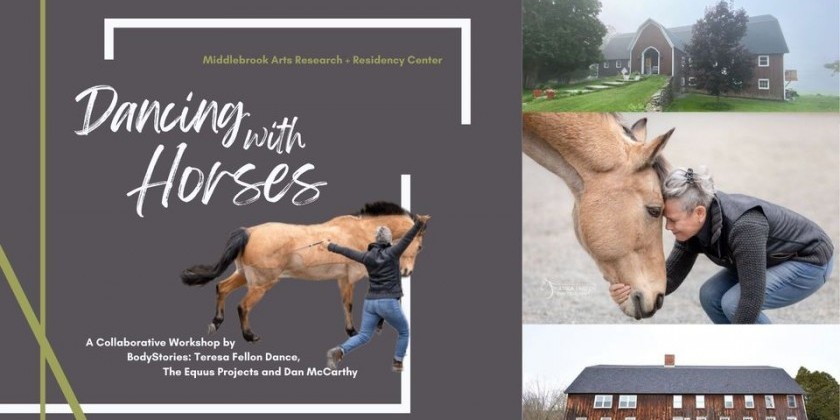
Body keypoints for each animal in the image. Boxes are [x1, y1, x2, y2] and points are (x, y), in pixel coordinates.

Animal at [181, 201, 428, 342]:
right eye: (419, 246)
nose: (406, 272)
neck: (361, 232)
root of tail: (248, 232)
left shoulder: (342, 279)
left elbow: (346, 304)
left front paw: (354, 330)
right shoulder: (350, 279)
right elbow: (352, 304)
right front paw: (355, 332)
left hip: (244, 276)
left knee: (221, 288)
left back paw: (216, 322)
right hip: (261, 284)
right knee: (243, 307)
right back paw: (250, 336)